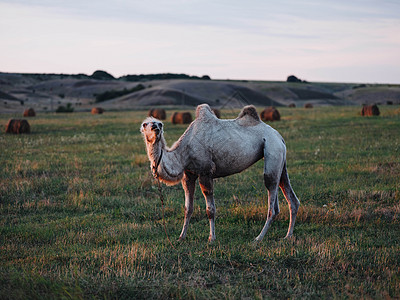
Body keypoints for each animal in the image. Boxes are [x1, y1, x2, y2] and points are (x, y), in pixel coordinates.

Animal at [141, 104, 300, 243]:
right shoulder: (188, 175)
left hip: (272, 150)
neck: (182, 154)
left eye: (160, 123)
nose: (155, 127)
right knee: (291, 198)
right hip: (280, 161)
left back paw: (258, 238)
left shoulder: (205, 172)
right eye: (145, 124)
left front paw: (211, 238)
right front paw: (181, 237)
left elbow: (210, 210)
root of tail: (279, 136)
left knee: (272, 202)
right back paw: (288, 236)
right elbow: (188, 208)